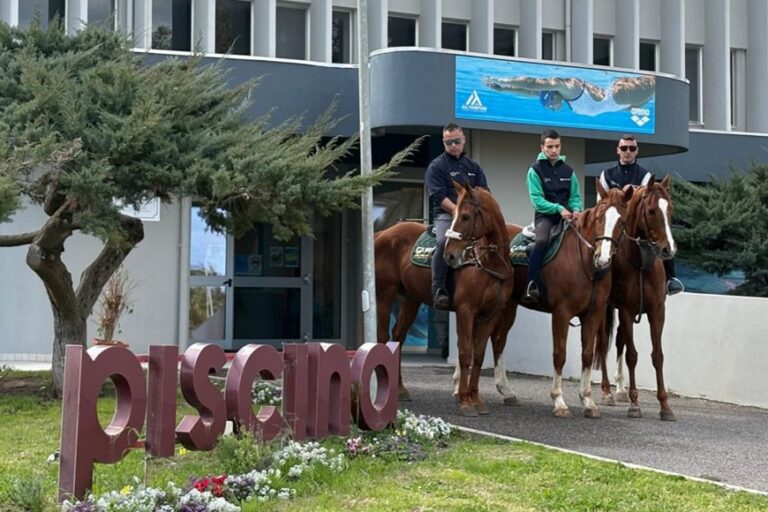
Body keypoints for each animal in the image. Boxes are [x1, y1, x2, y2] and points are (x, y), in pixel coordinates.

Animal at [376, 182, 512, 414]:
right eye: (457, 214)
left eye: (465, 216)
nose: (450, 255)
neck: (487, 262)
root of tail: (383, 233)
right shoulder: (466, 310)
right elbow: (465, 352)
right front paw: (465, 401)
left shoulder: (490, 315)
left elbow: (478, 354)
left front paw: (476, 398)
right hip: (385, 295)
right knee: (383, 336)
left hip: (410, 300)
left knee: (398, 337)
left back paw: (400, 389)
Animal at [484, 182, 632, 418]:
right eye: (599, 217)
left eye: (622, 221)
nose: (603, 257)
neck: (584, 263)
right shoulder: (561, 313)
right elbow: (559, 354)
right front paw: (559, 401)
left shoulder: (594, 314)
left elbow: (587, 354)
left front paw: (588, 401)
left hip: (508, 306)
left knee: (498, 340)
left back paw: (506, 392)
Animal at [592, 175, 680, 420]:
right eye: (651, 210)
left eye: (670, 209)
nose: (668, 249)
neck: (641, 263)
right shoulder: (626, 310)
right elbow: (632, 355)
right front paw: (634, 404)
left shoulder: (657, 311)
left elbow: (657, 355)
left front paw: (665, 406)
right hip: (604, 309)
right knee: (602, 343)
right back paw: (607, 391)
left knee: (619, 342)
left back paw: (620, 390)